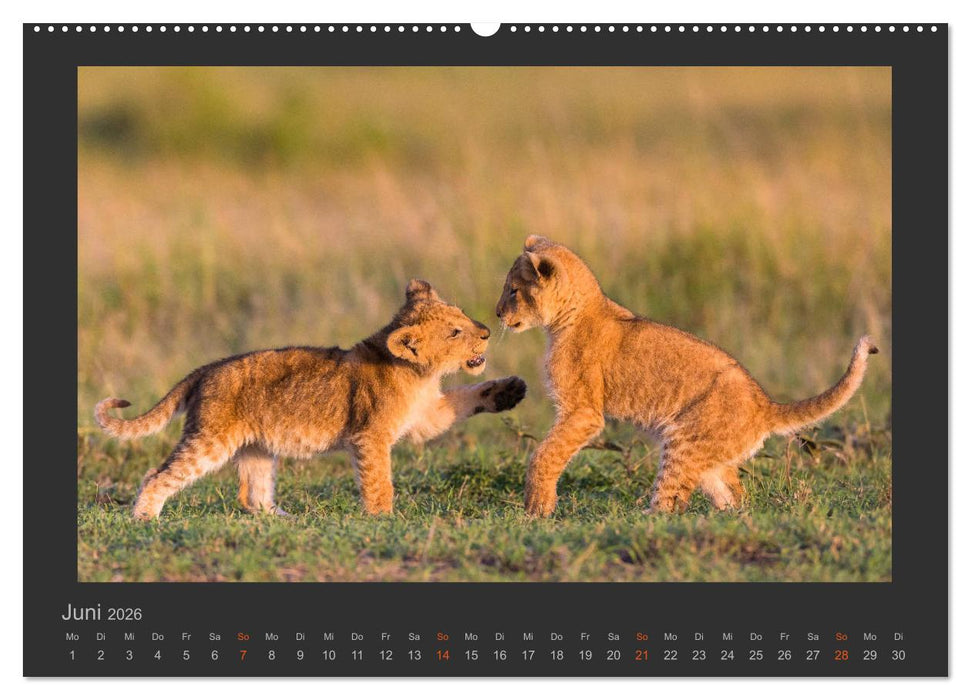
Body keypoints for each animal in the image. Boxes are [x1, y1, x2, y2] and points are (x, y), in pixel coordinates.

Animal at [96, 279, 527, 520]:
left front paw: (511, 390)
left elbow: (464, 398)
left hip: (257, 448)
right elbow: (378, 480)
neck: (421, 374)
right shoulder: (370, 436)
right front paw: (384, 518)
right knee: (159, 475)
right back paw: (145, 517)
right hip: (211, 439)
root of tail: (207, 368)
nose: (487, 332)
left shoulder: (426, 415)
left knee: (252, 495)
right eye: (454, 332)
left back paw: (287, 519)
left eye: (463, 314)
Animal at [495, 236, 877, 516]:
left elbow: (544, 455)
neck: (571, 315)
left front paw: (537, 510)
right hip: (709, 456)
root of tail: (764, 404)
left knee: (670, 504)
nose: (497, 313)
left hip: (684, 443)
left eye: (513, 290)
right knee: (733, 494)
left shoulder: (583, 412)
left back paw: (642, 520)